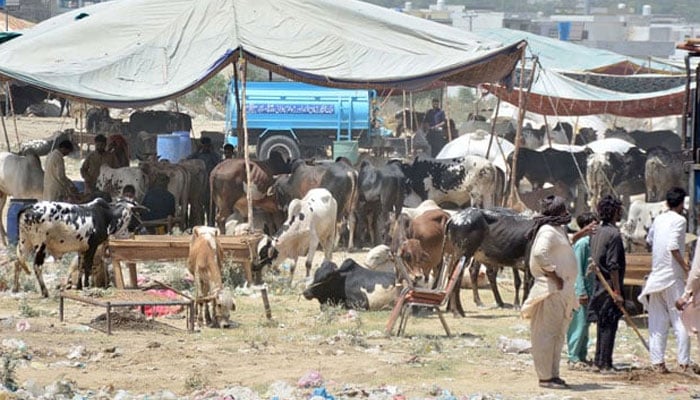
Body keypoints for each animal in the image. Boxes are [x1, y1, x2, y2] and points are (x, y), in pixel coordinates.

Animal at [15, 198, 143, 296]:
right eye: (136, 213)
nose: (140, 227)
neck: (106, 216)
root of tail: (30, 207)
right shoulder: (92, 246)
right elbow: (87, 266)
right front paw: (86, 286)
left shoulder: (81, 249)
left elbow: (81, 266)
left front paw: (79, 286)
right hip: (40, 246)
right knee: (37, 267)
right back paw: (45, 292)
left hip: (24, 243)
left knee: (18, 263)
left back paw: (15, 289)